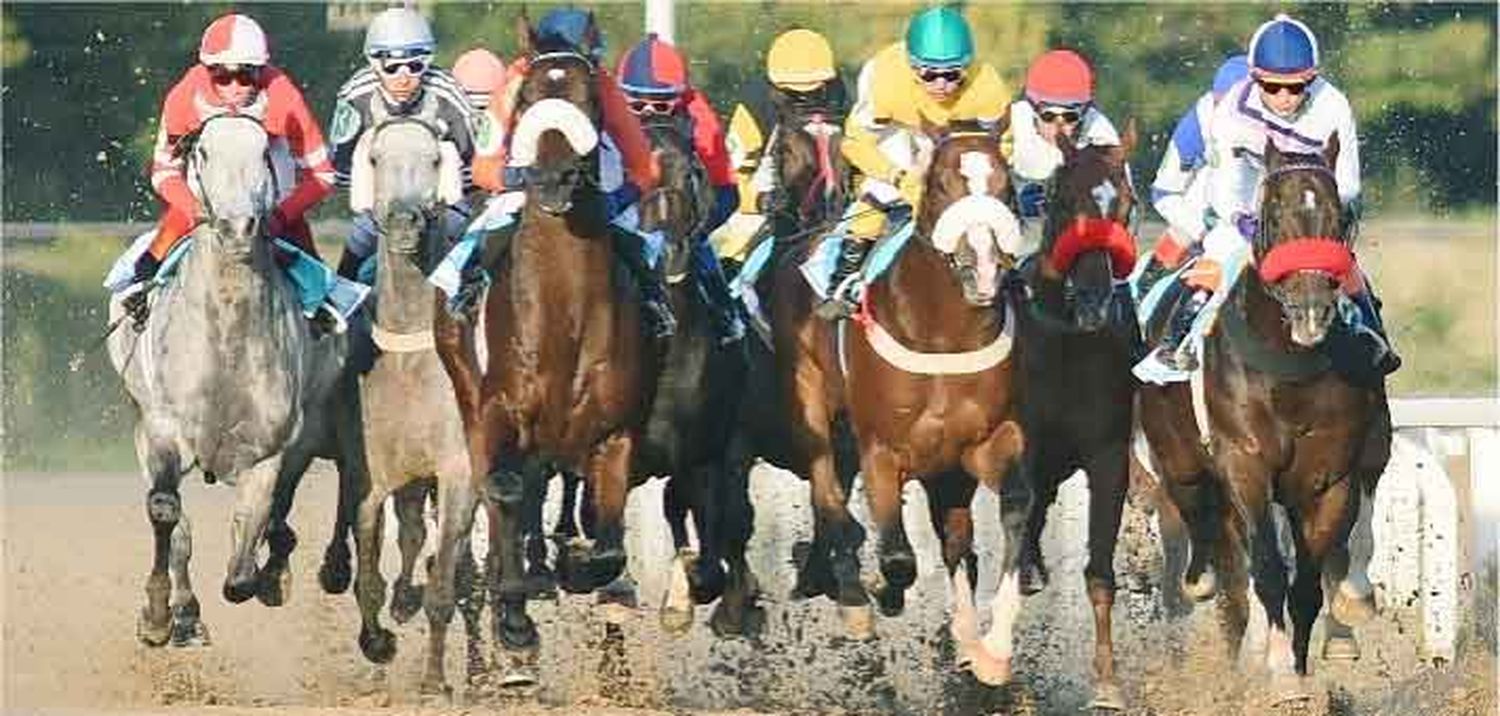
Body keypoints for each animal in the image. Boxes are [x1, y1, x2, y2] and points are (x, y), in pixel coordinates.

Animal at [108, 114, 360, 645]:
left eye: (265, 151)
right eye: (201, 152)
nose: (237, 227)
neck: (225, 333)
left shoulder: (273, 443)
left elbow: (253, 533)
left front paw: (261, 577)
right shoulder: (162, 429)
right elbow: (167, 513)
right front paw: (161, 615)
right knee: (179, 524)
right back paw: (185, 615)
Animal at [435, 18, 651, 687]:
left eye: (589, 99)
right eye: (527, 96)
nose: (554, 180)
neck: (562, 312)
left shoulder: (615, 431)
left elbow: (607, 537)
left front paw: (577, 567)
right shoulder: (497, 413)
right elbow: (504, 494)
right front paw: (515, 626)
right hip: (469, 402)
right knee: (504, 491)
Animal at [774, 125, 1032, 684]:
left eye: (1005, 186)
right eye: (939, 185)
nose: (983, 268)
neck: (944, 336)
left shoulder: (985, 440)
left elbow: (1015, 510)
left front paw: (995, 648)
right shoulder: (882, 450)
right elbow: (895, 556)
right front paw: (878, 589)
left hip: (944, 467)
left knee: (956, 540)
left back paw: (966, 637)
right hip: (811, 399)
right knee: (827, 488)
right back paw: (853, 596)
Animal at [1134, 135, 1392, 693]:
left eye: (1339, 215)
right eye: (1272, 212)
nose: (1312, 309)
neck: (1289, 372)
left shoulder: (1327, 477)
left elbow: (1308, 581)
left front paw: (1296, 665)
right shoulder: (1244, 463)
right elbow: (1269, 569)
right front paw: (1277, 668)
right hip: (1180, 459)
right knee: (1205, 524)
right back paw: (1203, 584)